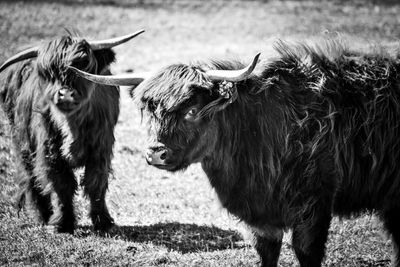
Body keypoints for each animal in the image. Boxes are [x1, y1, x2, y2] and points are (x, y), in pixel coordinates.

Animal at [0, 30, 144, 233]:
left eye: (84, 66)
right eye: (49, 72)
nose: (66, 94)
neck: (73, 128)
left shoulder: (101, 149)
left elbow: (95, 183)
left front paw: (103, 222)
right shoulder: (50, 152)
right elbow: (62, 186)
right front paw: (63, 223)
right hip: (22, 141)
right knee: (31, 177)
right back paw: (44, 216)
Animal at [72, 39, 400, 267]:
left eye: (192, 110)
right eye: (151, 110)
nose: (156, 154)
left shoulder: (315, 206)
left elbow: (307, 252)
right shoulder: (261, 220)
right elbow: (267, 254)